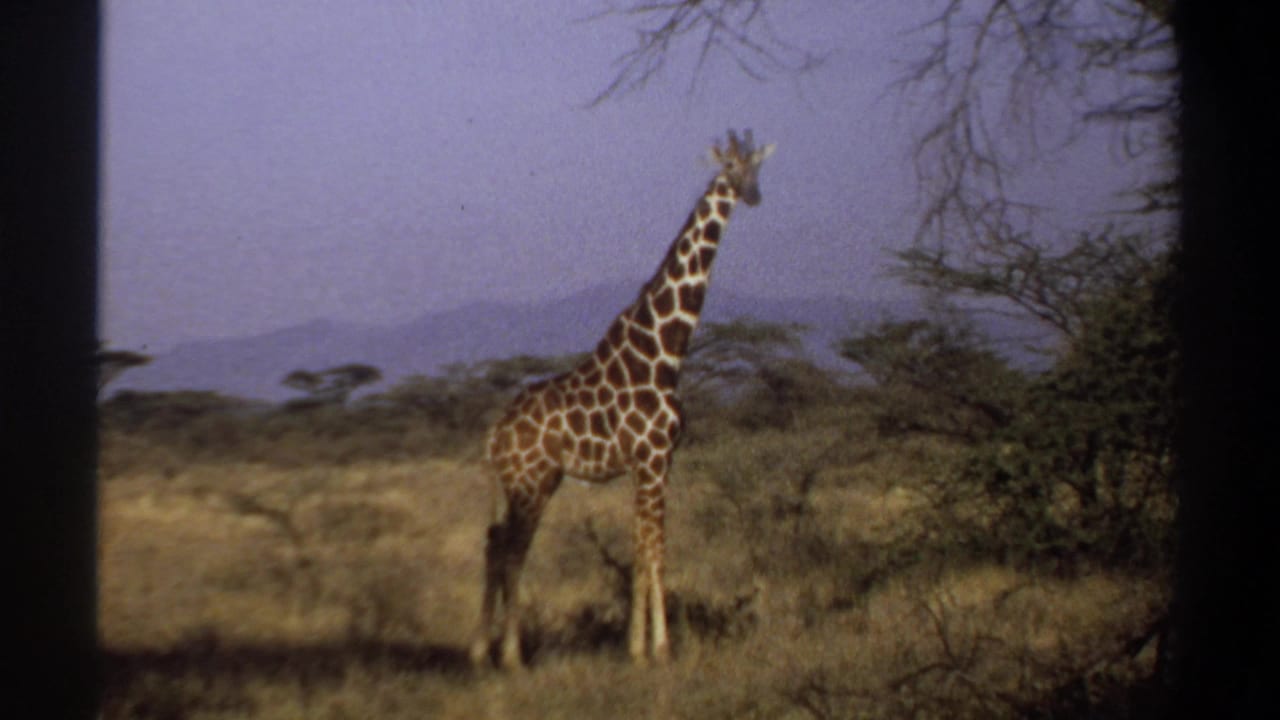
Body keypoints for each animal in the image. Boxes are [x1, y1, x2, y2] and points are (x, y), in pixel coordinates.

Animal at [470, 129, 775, 669]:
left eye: (756, 167)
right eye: (729, 167)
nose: (752, 194)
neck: (664, 352)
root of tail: (494, 435)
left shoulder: (658, 462)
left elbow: (644, 548)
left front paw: (639, 646)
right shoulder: (650, 459)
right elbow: (655, 550)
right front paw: (657, 648)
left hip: (526, 483)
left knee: (495, 545)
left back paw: (483, 651)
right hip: (530, 484)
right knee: (511, 552)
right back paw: (512, 655)